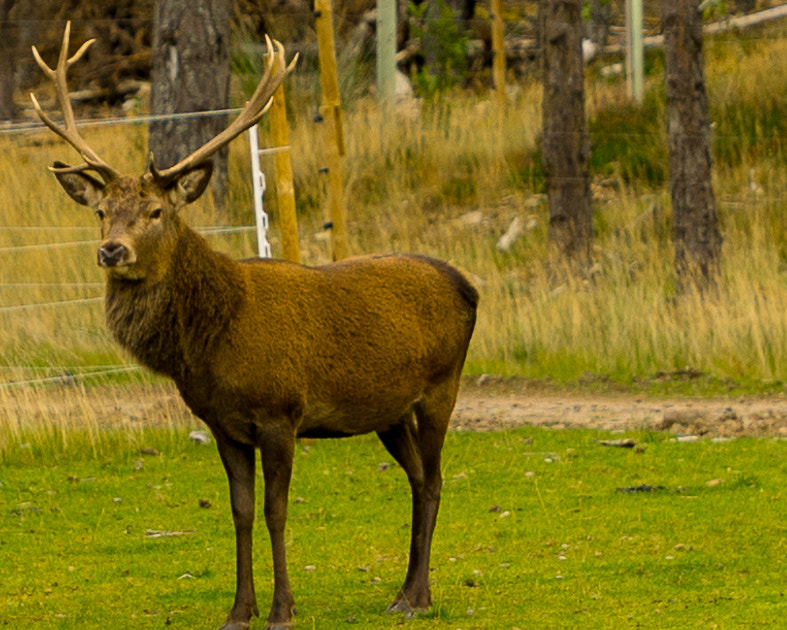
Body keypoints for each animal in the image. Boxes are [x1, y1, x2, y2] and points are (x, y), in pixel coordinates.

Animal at [30, 23, 478, 630]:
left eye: (156, 212)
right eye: (101, 212)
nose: (111, 250)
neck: (211, 341)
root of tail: (468, 285)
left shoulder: (279, 412)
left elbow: (275, 510)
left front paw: (282, 609)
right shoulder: (223, 424)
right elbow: (240, 512)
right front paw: (239, 610)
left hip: (441, 387)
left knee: (432, 480)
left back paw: (419, 596)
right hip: (388, 411)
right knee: (415, 478)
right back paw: (403, 592)